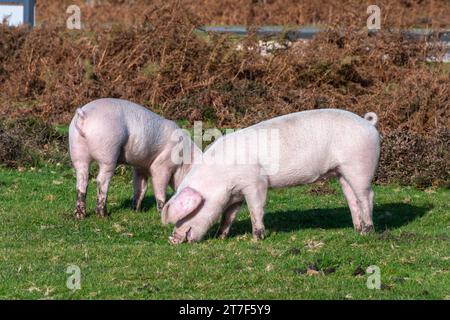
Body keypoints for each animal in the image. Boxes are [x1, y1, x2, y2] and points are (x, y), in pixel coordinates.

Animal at [67, 98, 201, 218]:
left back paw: (79, 216)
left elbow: (140, 188)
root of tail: (84, 115)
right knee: (101, 180)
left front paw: (135, 211)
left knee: (82, 179)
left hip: (77, 150)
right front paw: (160, 214)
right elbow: (159, 190)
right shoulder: (161, 166)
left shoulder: (140, 167)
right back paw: (104, 215)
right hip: (108, 152)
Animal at [161, 109, 380, 244]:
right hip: (342, 171)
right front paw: (220, 236)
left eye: (187, 214)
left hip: (359, 166)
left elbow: (256, 208)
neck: (220, 178)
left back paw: (368, 232)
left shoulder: (255, 182)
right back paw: (357, 230)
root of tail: (368, 123)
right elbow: (228, 215)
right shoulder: (235, 193)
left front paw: (257, 237)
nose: (172, 240)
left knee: (367, 196)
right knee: (352, 199)